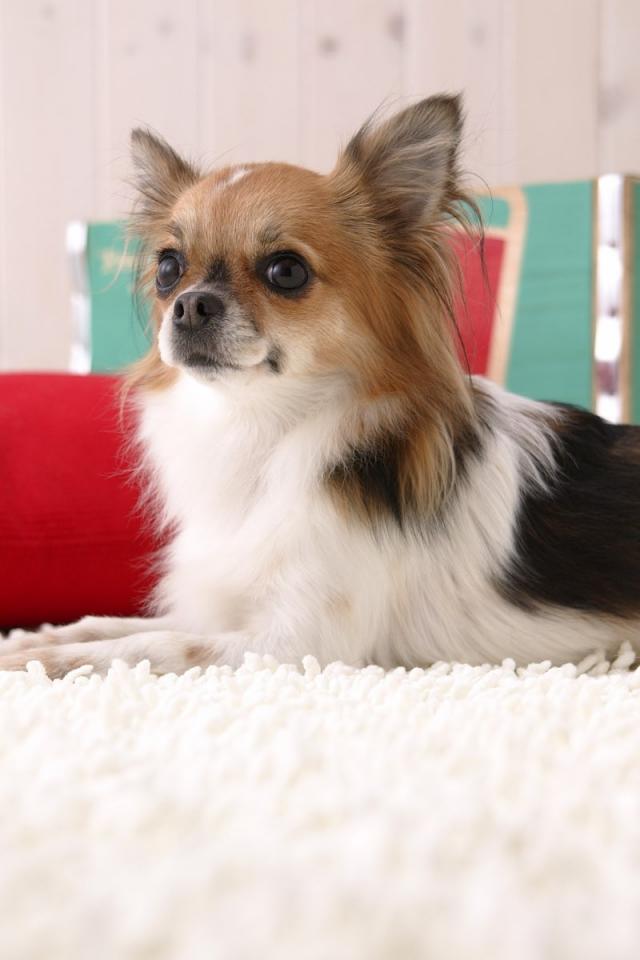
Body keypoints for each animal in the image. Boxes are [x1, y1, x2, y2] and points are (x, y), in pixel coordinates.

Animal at [3, 93, 639, 677]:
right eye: (167, 268)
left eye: (286, 271)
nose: (188, 304)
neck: (261, 426)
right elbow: (117, 622)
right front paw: (40, 636)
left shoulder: (297, 642)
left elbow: (149, 644)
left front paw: (51, 659)